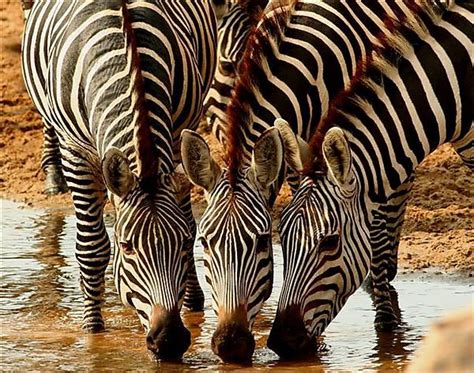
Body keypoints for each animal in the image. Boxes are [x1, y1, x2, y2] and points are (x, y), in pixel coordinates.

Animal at [20, 0, 217, 358]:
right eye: (126, 247)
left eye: (182, 243)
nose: (169, 341)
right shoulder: (77, 153)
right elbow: (92, 248)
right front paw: (93, 330)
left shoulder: (178, 134)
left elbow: (187, 221)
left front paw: (191, 301)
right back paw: (52, 174)